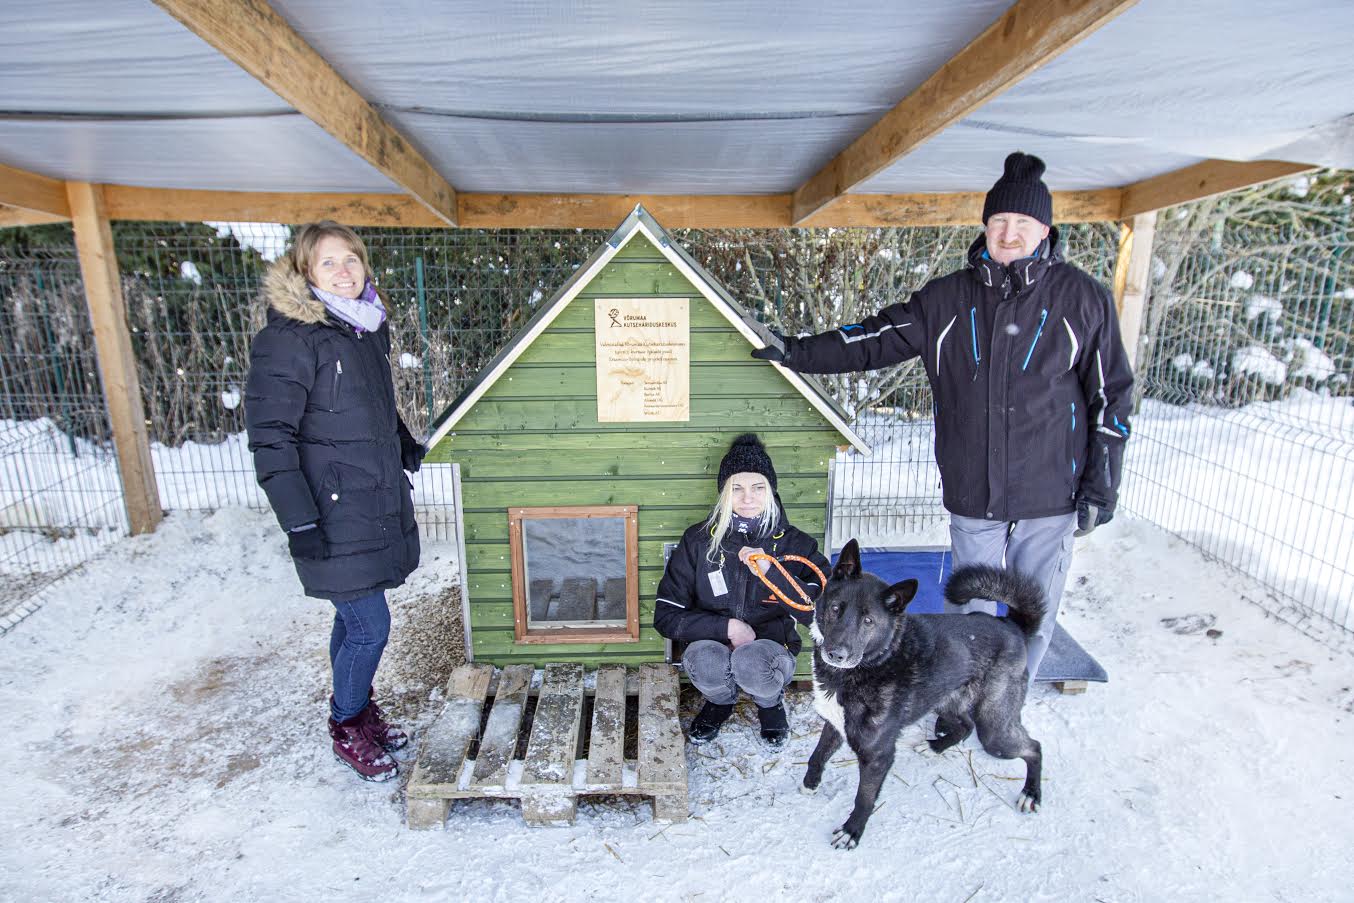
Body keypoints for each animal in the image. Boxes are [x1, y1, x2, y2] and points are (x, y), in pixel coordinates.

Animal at [801, 541, 1045, 850]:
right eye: (835, 609)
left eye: (868, 620)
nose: (836, 654)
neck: (876, 661)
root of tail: (1011, 625)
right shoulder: (835, 724)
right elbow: (817, 755)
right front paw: (810, 782)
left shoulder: (878, 755)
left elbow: (864, 798)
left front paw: (852, 831)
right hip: (946, 699)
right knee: (966, 725)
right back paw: (936, 746)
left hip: (995, 730)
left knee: (1033, 747)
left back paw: (1031, 793)